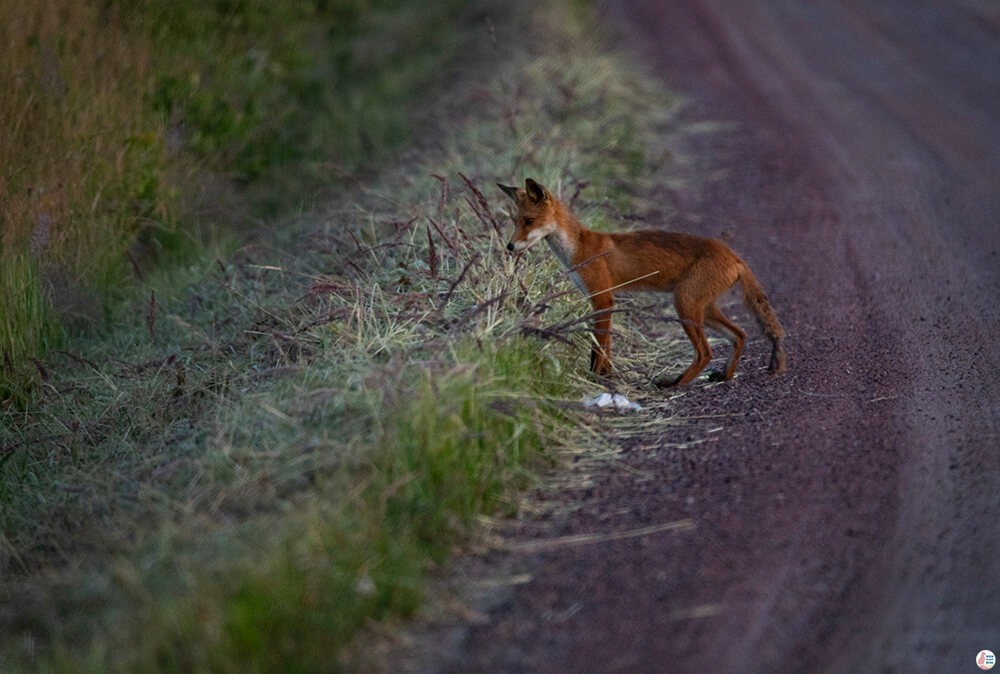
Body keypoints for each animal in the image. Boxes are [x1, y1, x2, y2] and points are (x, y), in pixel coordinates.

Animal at [496, 178, 784, 386]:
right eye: (516, 222)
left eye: (529, 221)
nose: (509, 246)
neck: (578, 249)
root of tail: (734, 256)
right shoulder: (599, 302)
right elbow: (602, 348)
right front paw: (604, 376)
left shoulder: (603, 300)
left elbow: (600, 348)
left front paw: (597, 377)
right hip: (704, 308)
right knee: (740, 334)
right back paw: (724, 375)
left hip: (685, 305)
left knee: (706, 352)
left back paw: (677, 383)